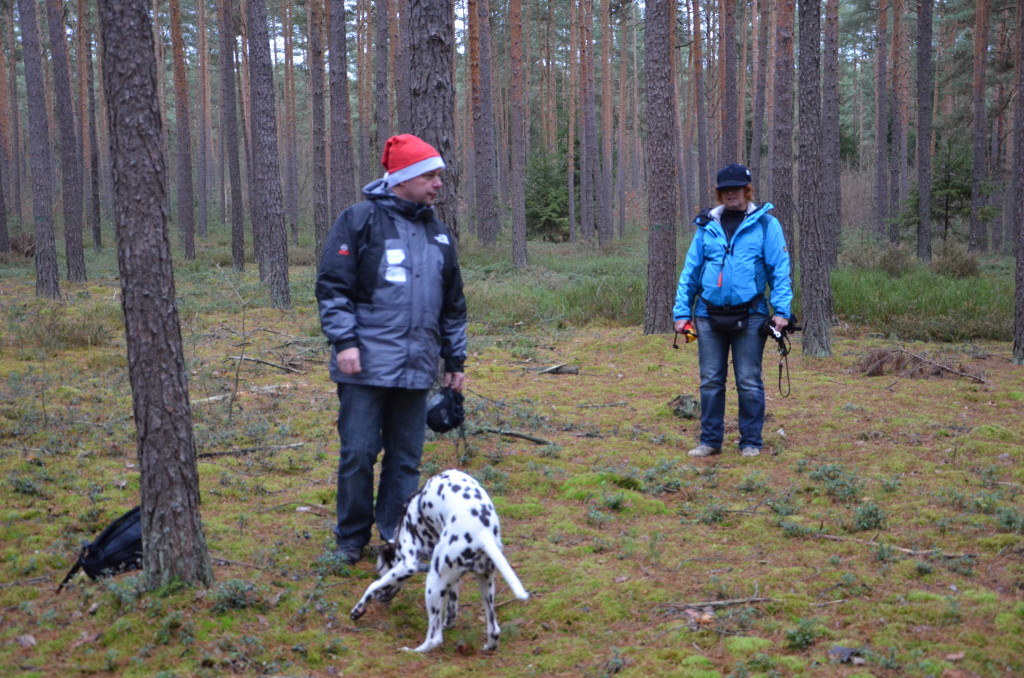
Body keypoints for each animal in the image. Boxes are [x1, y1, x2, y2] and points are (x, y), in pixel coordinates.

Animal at [350, 469, 529, 652]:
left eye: (380, 571)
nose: (381, 600)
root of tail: (482, 534)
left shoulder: (408, 565)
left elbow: (373, 585)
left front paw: (358, 609)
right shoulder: (452, 579)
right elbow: (452, 608)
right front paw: (449, 622)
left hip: (433, 585)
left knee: (434, 638)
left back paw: (413, 651)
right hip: (485, 586)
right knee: (494, 630)